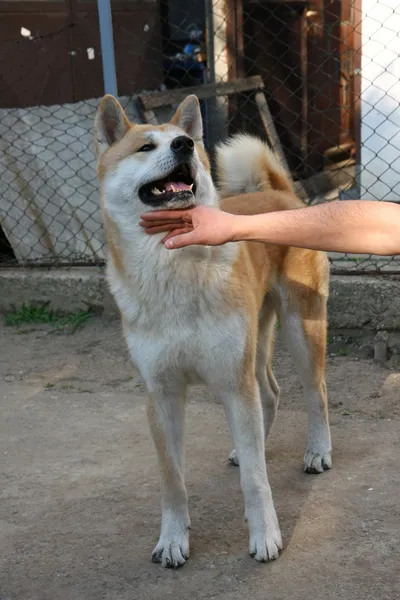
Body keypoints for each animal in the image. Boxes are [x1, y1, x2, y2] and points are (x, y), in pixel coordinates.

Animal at [94, 92, 332, 568]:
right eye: (145, 147)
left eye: (183, 141)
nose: (185, 144)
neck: (173, 267)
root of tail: (281, 192)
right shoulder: (162, 394)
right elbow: (172, 480)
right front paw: (172, 539)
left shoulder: (232, 382)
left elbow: (257, 480)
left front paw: (266, 536)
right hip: (254, 346)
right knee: (270, 393)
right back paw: (248, 446)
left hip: (300, 329)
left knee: (316, 393)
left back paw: (318, 451)